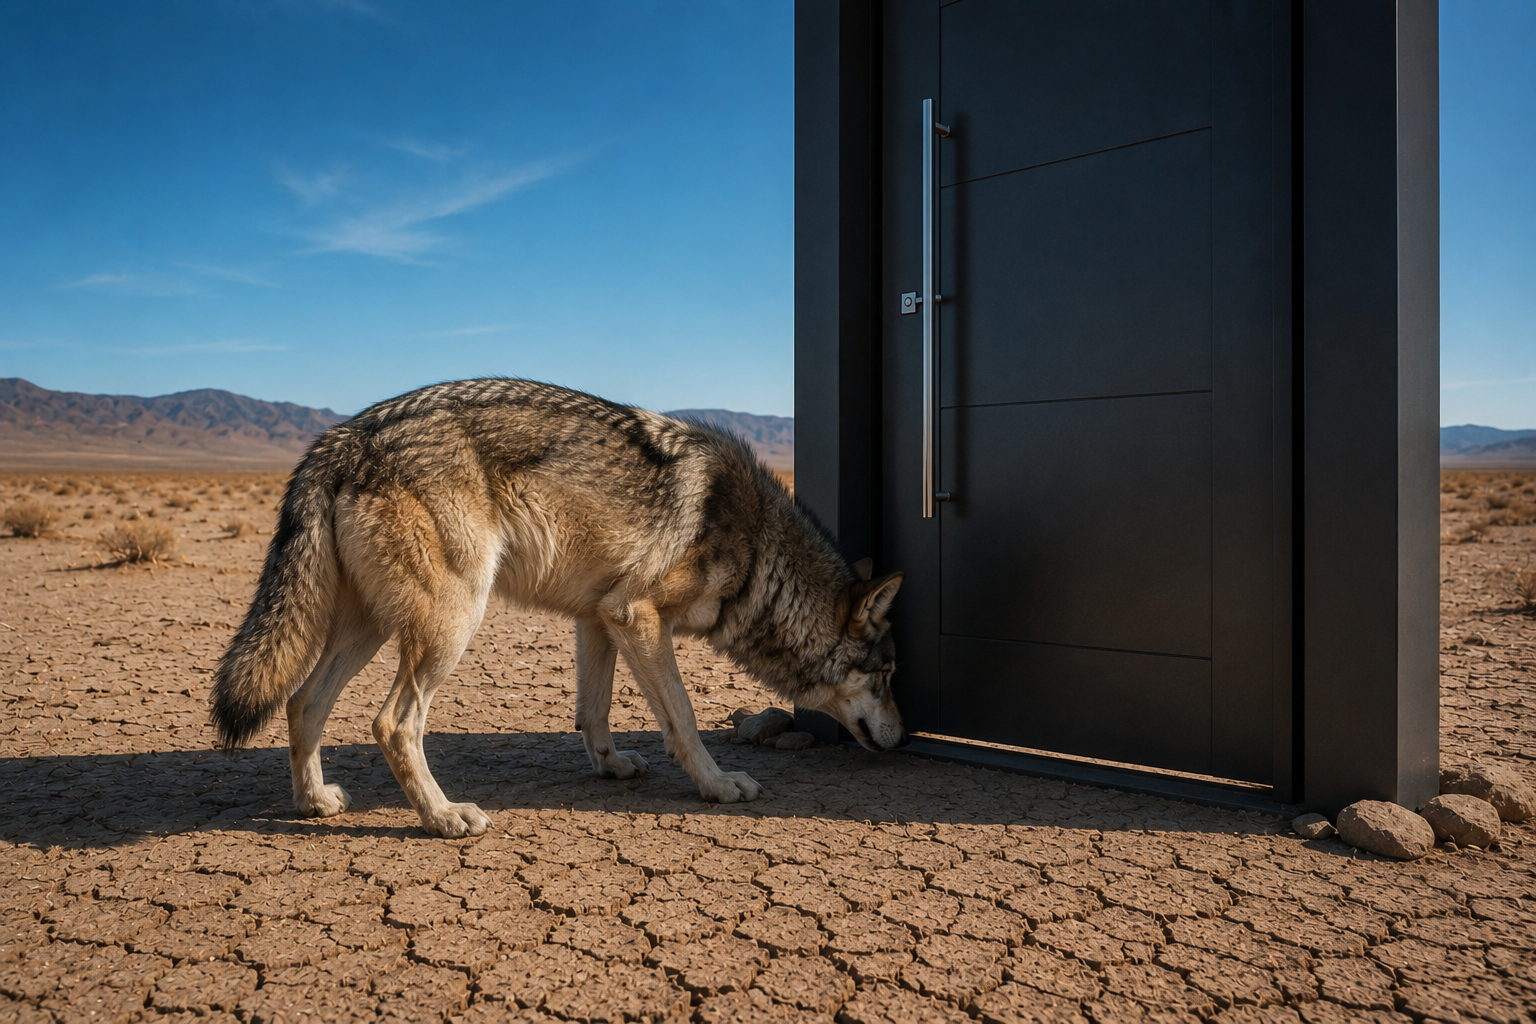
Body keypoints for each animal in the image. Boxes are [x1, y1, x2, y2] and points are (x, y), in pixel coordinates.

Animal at [209, 379, 908, 837]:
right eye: (887, 676)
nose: (904, 739)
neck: (761, 551)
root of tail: (342, 436)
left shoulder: (600, 617)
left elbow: (594, 711)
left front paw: (612, 766)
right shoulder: (639, 616)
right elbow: (681, 719)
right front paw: (717, 786)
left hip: (374, 629)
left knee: (303, 702)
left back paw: (314, 803)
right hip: (449, 625)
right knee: (392, 723)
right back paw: (443, 818)